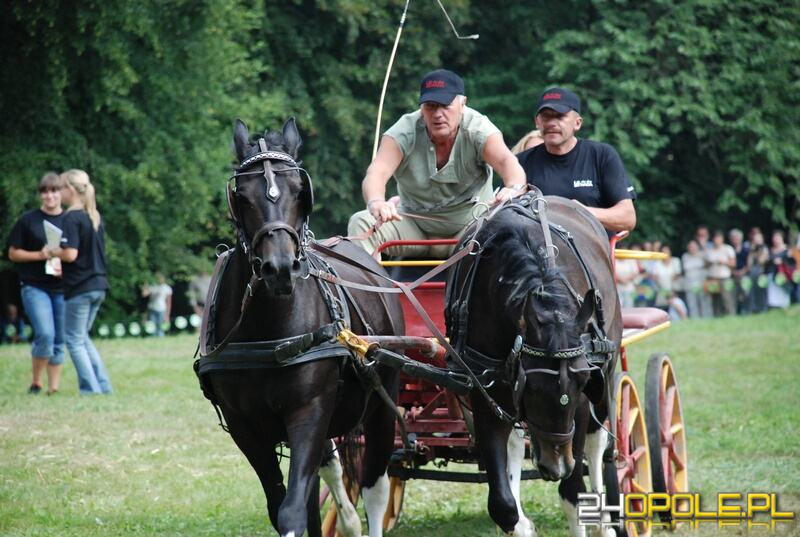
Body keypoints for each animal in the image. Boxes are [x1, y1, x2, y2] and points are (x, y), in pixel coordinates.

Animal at [197, 118, 404, 536]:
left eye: (299, 190)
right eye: (241, 196)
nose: (279, 269)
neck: (267, 332)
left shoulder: (309, 411)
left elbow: (293, 510)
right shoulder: (245, 426)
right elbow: (284, 506)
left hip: (382, 402)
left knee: (375, 486)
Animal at [446, 195, 620, 532]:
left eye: (581, 382)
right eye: (533, 387)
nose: (557, 465)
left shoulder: (583, 396)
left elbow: (573, 492)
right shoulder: (486, 392)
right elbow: (502, 506)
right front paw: (521, 523)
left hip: (608, 372)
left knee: (599, 441)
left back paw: (605, 518)